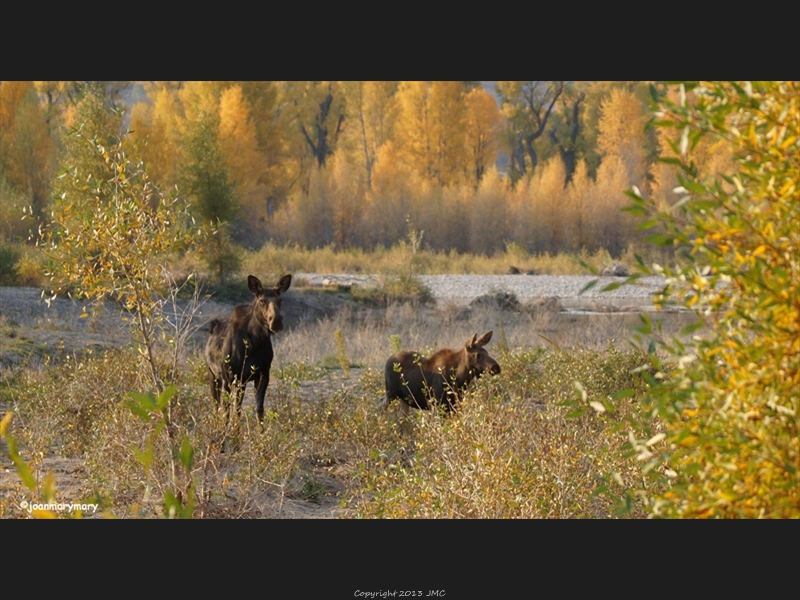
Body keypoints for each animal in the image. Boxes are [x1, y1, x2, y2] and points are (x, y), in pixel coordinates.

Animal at [205, 274, 292, 422]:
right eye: (261, 300)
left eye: (280, 299)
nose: (276, 321)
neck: (255, 345)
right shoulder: (227, 378)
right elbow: (226, 412)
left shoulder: (263, 375)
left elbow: (258, 411)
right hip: (213, 374)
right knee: (216, 406)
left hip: (241, 383)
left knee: (236, 407)